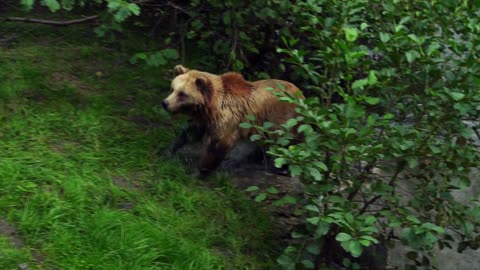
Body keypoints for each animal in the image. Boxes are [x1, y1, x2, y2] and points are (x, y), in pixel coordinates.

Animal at [163, 64, 302, 176]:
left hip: (282, 120)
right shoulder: (204, 120)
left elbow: (217, 146)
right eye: (172, 88)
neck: (211, 107)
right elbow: (190, 133)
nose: (165, 103)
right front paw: (169, 150)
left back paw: (280, 169)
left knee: (284, 144)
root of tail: (301, 95)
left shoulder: (227, 120)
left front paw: (199, 171)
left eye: (182, 94)